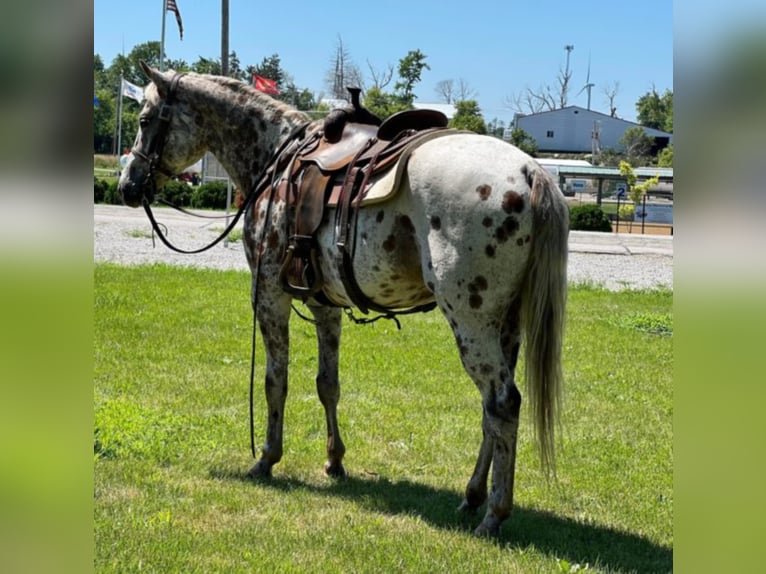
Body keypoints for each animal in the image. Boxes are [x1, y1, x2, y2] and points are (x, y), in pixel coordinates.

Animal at [115, 63, 568, 540]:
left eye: (144, 119)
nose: (127, 187)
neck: (276, 159)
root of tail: (530, 172)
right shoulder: (324, 305)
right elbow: (327, 383)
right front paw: (334, 460)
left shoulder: (269, 294)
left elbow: (276, 381)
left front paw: (267, 458)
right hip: (506, 325)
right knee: (490, 411)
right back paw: (472, 495)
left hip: (471, 321)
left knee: (502, 403)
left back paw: (494, 513)